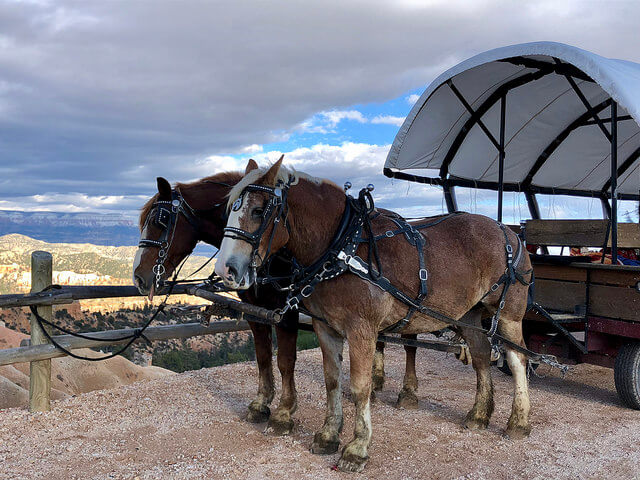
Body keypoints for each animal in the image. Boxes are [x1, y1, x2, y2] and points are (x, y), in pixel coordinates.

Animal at [218, 159, 532, 474]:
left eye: (259, 211)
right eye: (231, 208)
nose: (226, 269)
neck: (342, 246)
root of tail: (509, 232)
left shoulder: (362, 330)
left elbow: (360, 387)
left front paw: (357, 448)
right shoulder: (325, 327)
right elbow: (332, 380)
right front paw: (328, 435)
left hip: (509, 313)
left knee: (518, 359)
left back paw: (519, 421)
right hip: (469, 314)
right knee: (480, 357)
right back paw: (479, 414)